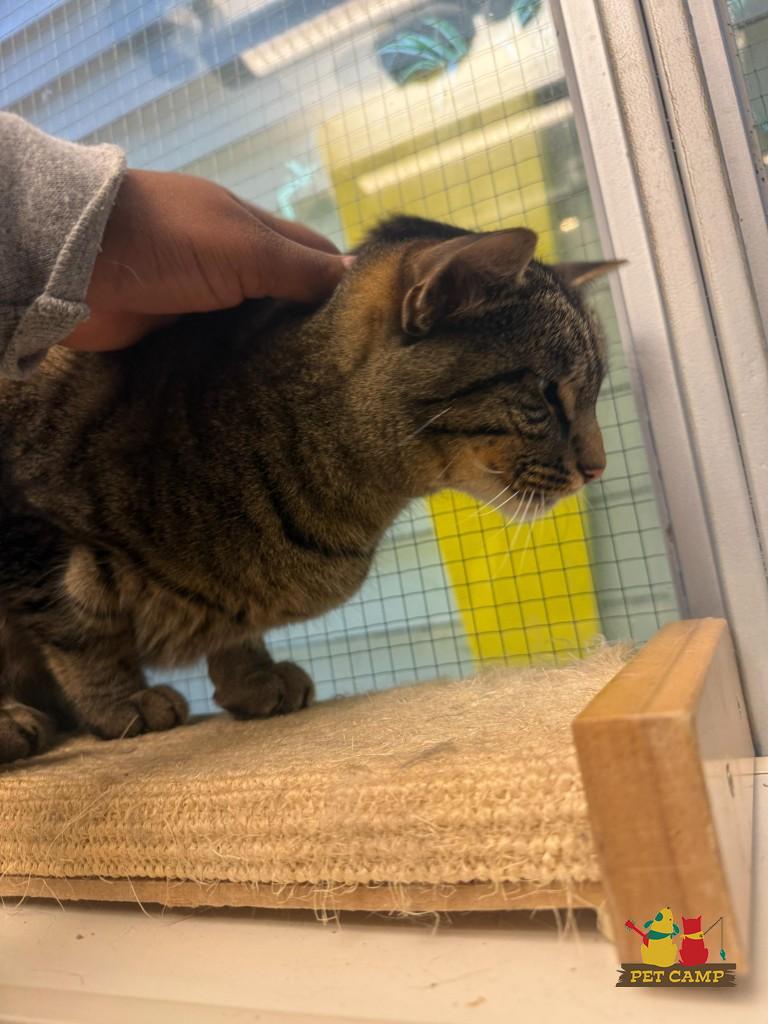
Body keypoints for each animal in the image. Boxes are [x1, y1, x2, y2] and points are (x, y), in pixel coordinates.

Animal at [0, 215, 618, 762]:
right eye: (548, 393)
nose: (600, 466)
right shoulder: (29, 533)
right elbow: (80, 633)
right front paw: (119, 701)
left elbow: (232, 628)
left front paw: (252, 677)